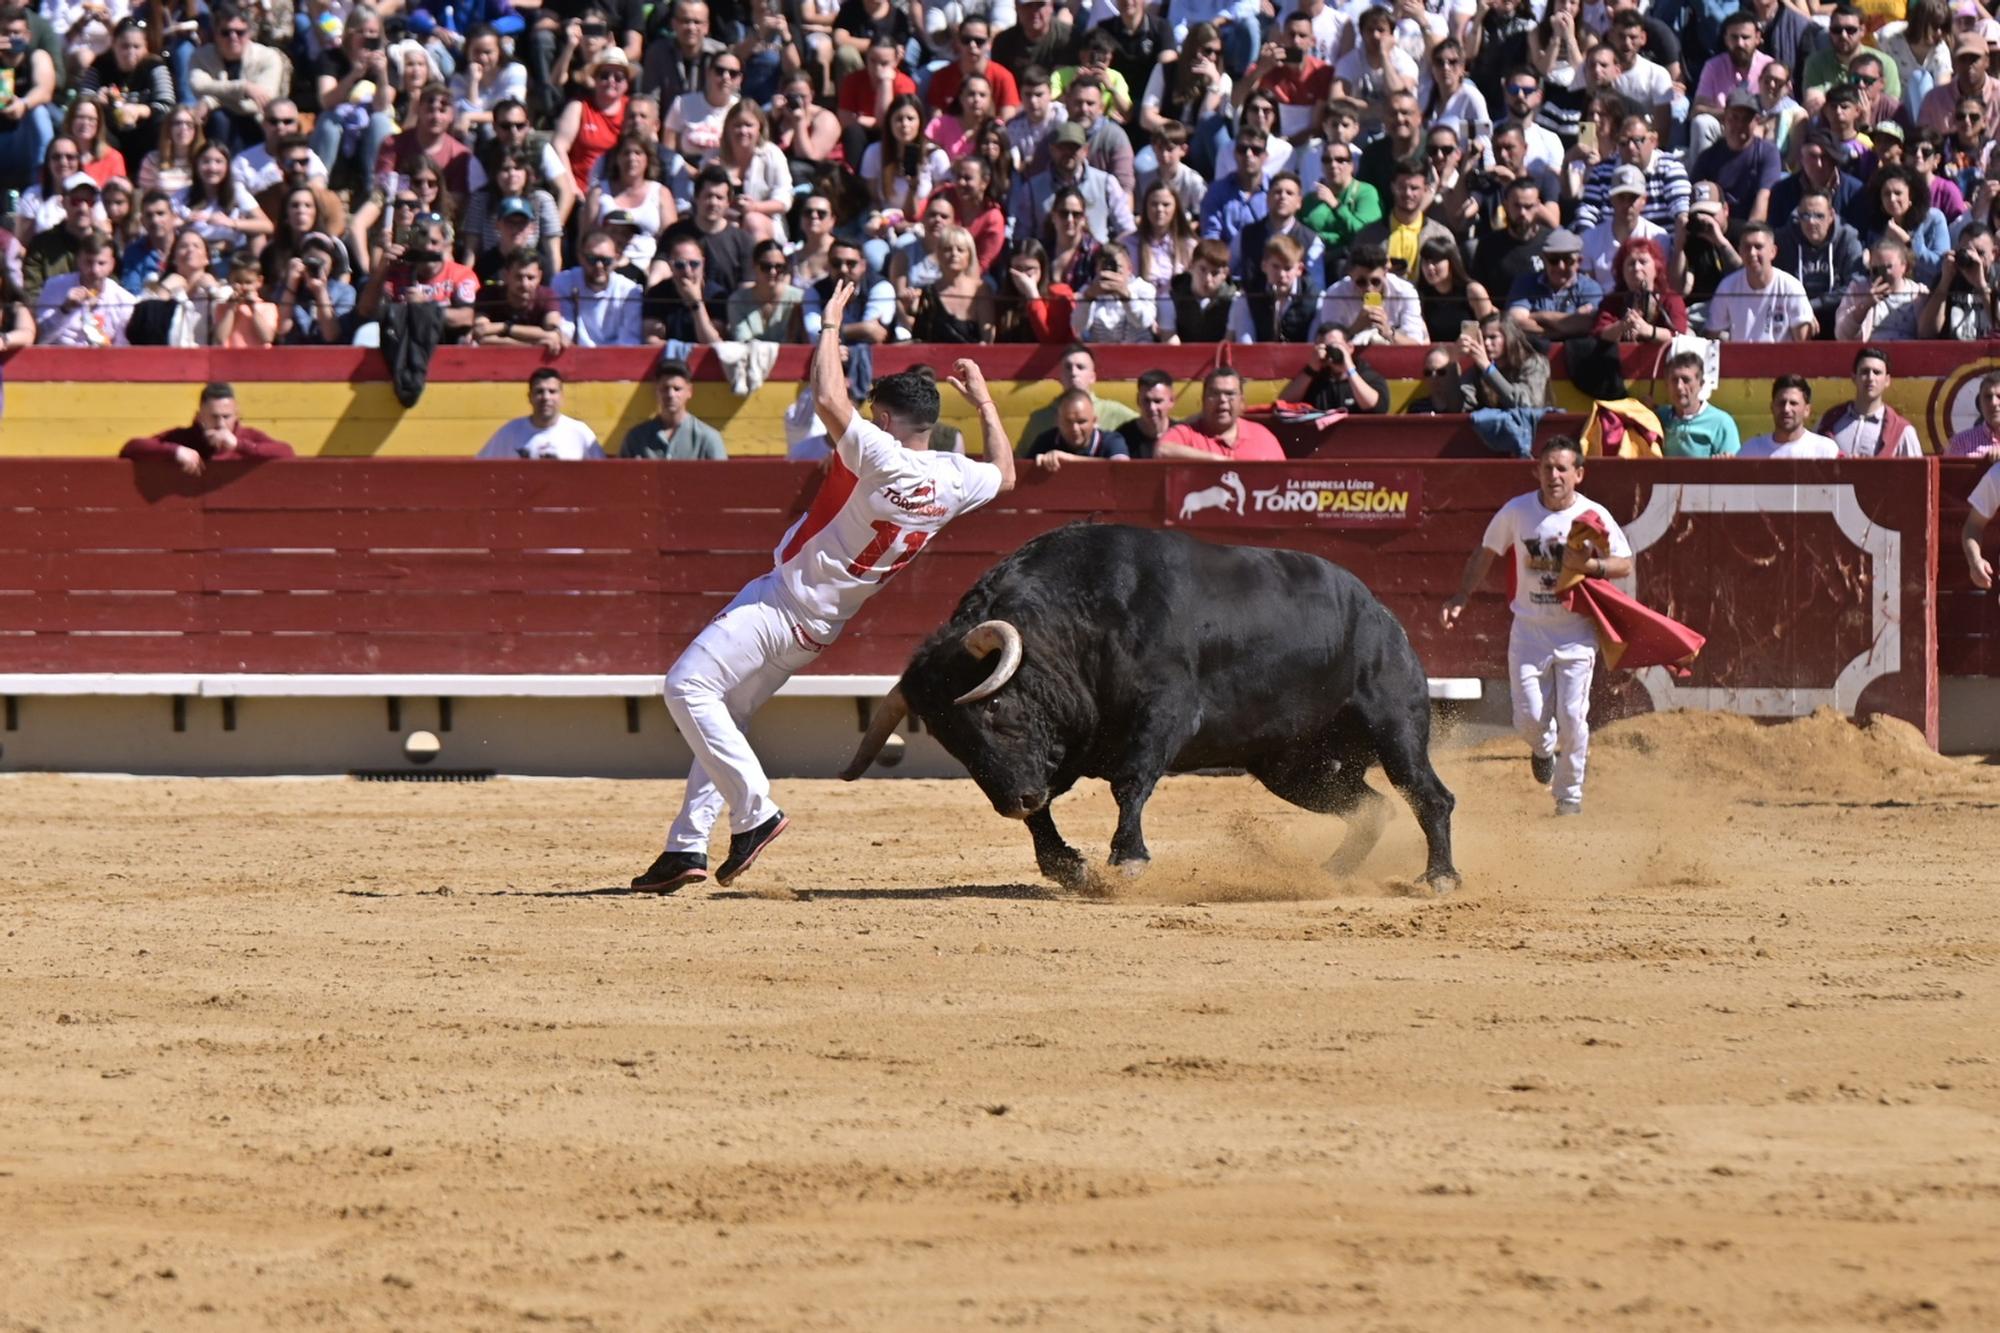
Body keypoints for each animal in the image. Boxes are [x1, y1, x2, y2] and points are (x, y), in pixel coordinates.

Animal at [836, 524, 1464, 888]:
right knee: (1369, 807)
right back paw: (1331, 874)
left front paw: (1128, 860)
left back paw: (1438, 877)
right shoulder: (1064, 748)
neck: (1077, 621)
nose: (1012, 801)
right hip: (1292, 768)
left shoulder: (1164, 715)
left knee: (1427, 794)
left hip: (1394, 723)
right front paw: (1070, 868)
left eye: (990, 711)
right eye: (947, 738)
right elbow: (1048, 812)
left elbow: (1130, 782)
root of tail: (1380, 612)